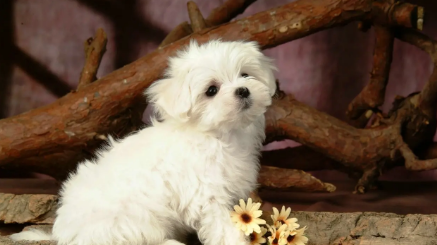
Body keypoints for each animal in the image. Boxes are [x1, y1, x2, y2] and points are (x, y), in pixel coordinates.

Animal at [10, 39, 276, 244]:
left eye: (245, 75)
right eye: (211, 90)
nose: (243, 90)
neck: (219, 134)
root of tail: (64, 235)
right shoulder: (206, 194)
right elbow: (223, 226)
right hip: (132, 218)